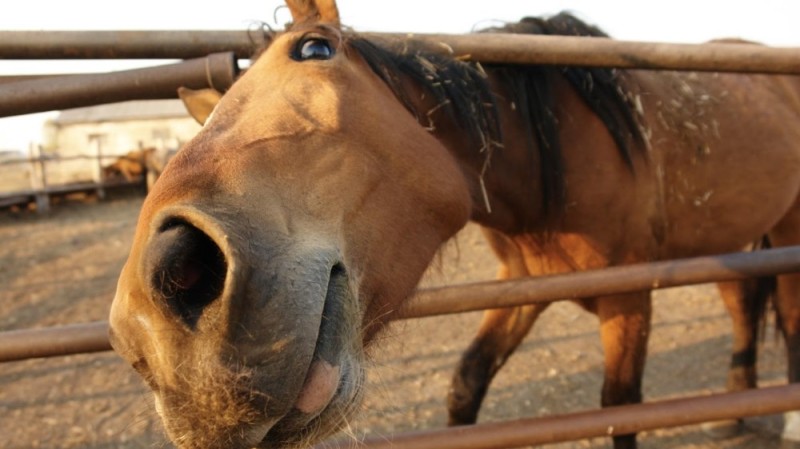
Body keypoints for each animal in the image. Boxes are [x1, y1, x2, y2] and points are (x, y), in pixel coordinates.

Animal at [108, 0, 800, 448]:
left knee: (787, 314)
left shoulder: (628, 296)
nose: (148, 323)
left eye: (314, 48)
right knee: (744, 301)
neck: (558, 154)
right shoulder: (523, 282)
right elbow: (467, 383)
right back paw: (734, 407)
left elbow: (619, 408)